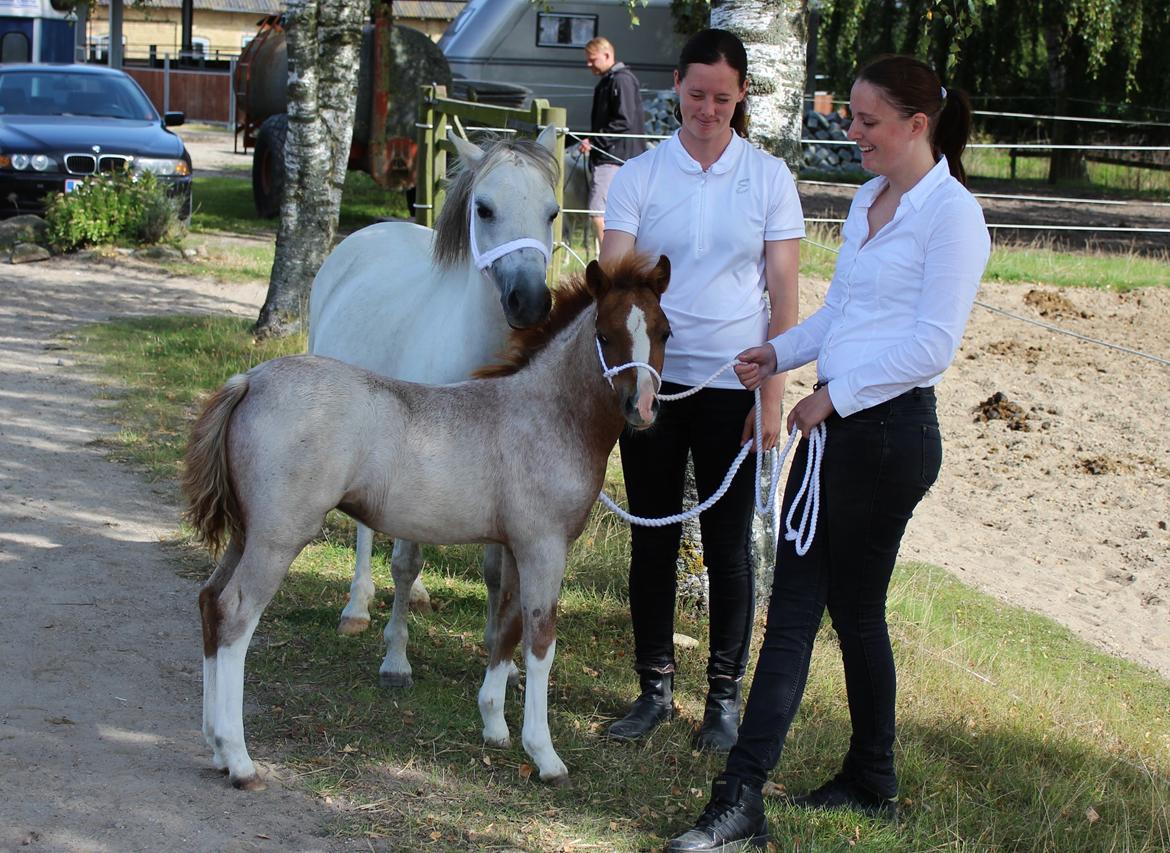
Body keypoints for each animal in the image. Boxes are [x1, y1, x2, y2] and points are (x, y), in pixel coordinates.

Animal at [306, 124, 561, 683]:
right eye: (484, 208)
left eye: (553, 212)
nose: (530, 302)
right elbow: (404, 562)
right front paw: (396, 659)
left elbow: (494, 571)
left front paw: (501, 663)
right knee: (369, 529)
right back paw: (357, 607)